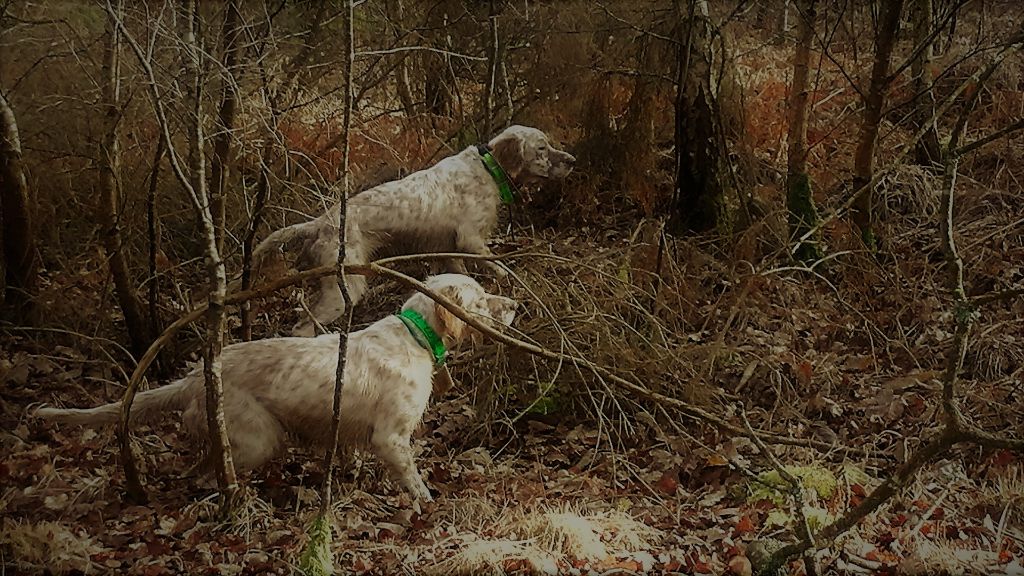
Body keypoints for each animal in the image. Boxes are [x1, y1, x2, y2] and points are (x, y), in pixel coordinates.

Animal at [36, 272, 516, 498]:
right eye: (481, 298)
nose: (513, 303)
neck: (414, 336)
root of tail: (193, 378)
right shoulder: (390, 437)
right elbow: (414, 482)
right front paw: (427, 503)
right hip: (259, 438)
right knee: (207, 473)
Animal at [249, 123, 569, 334]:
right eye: (542, 148)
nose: (573, 160)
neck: (487, 168)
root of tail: (318, 224)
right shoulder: (471, 240)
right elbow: (500, 267)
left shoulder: (448, 250)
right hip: (344, 290)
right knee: (302, 325)